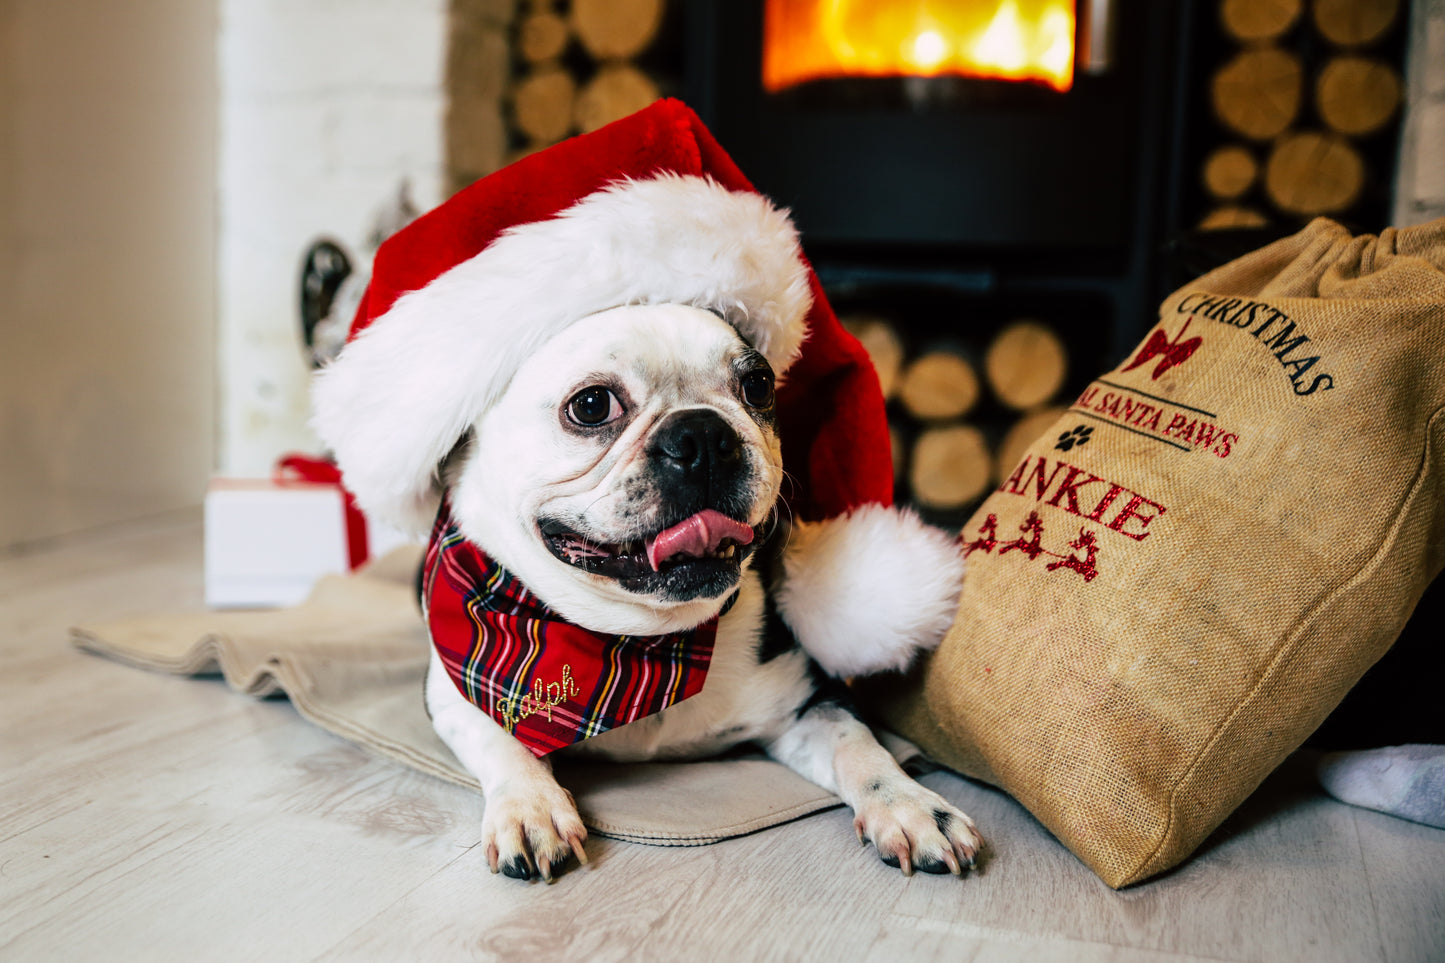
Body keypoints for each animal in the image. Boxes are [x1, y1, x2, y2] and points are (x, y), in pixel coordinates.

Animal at [315, 170, 982, 879]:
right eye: (590, 405)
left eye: (758, 386)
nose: (704, 435)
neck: (639, 644)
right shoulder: (453, 690)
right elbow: (500, 736)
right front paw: (529, 806)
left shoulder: (809, 697)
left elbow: (863, 746)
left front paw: (911, 806)